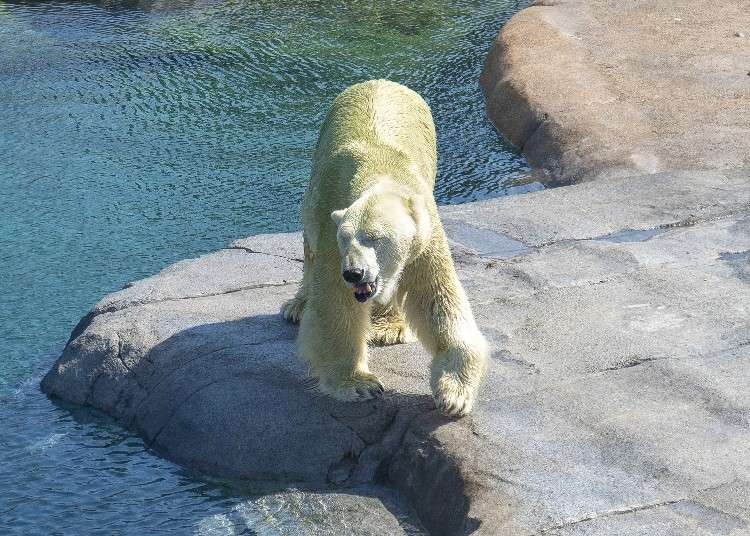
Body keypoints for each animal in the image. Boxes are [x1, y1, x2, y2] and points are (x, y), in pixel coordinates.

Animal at [282, 79, 488, 416]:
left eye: (375, 237)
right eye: (346, 238)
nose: (354, 273)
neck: (381, 171)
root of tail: (380, 81)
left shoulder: (425, 234)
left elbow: (438, 299)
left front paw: (454, 393)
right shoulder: (332, 229)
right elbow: (335, 304)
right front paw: (359, 384)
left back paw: (389, 326)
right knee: (308, 248)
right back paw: (298, 306)